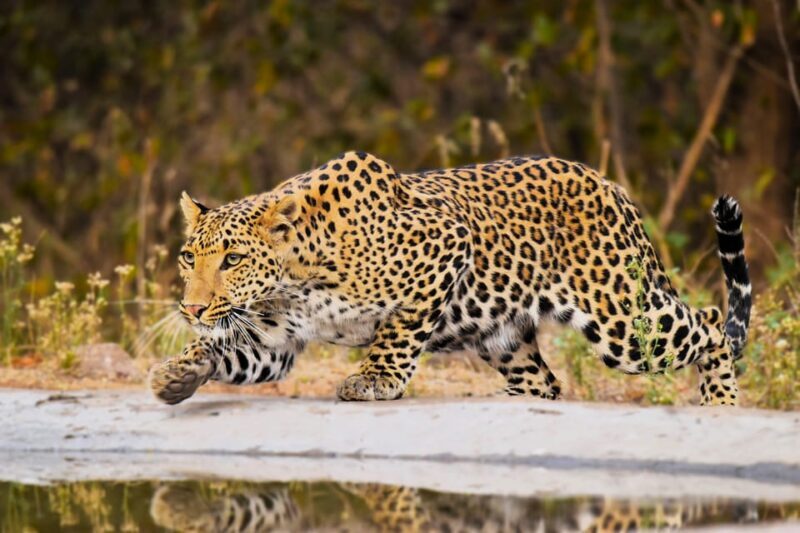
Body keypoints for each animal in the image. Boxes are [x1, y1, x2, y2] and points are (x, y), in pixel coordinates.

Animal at [148, 151, 751, 406]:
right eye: (188, 257)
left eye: (232, 260)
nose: (192, 309)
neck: (291, 281)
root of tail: (609, 184)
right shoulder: (277, 342)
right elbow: (228, 352)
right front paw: (175, 373)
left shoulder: (445, 243)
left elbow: (397, 332)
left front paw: (375, 379)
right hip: (507, 339)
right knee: (544, 382)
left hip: (625, 320)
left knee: (710, 323)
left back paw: (720, 403)